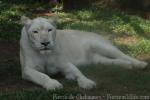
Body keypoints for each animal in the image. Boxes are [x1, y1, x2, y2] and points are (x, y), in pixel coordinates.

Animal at [19, 15, 148, 90]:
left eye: (49, 30)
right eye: (35, 32)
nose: (45, 43)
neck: (45, 54)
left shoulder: (64, 63)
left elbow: (78, 72)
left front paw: (87, 83)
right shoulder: (27, 70)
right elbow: (41, 76)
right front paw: (53, 84)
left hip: (101, 46)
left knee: (123, 55)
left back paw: (141, 64)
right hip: (98, 60)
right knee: (113, 61)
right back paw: (127, 65)